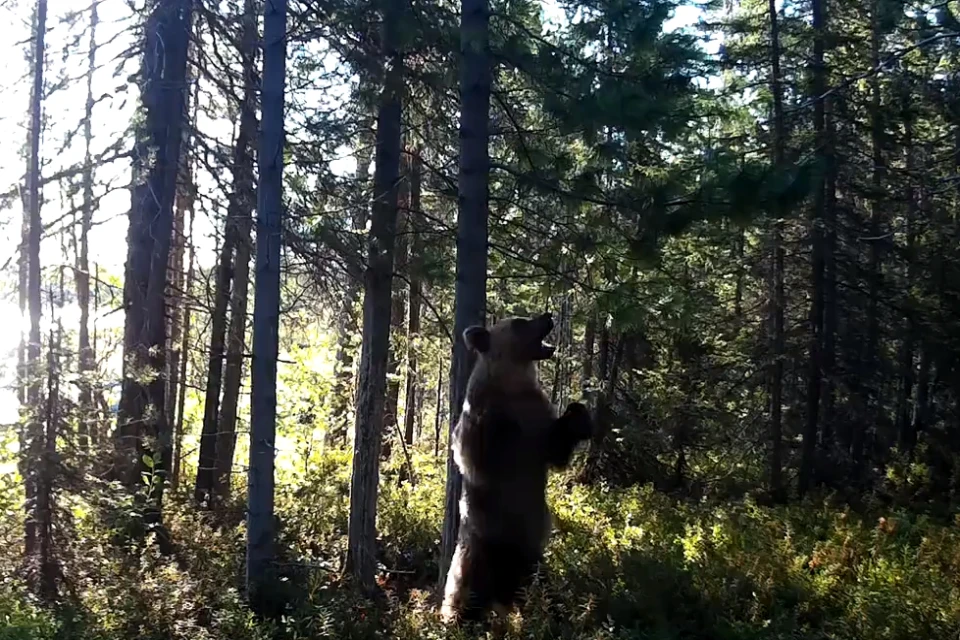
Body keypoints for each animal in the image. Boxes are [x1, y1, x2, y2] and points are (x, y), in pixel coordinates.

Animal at [442, 312, 592, 624]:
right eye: (520, 322)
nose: (548, 315)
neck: (513, 385)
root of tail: (503, 596)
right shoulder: (484, 425)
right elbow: (480, 454)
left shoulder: (539, 419)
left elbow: (556, 448)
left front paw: (579, 415)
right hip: (481, 551)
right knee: (466, 590)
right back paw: (457, 617)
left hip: (530, 558)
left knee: (542, 587)